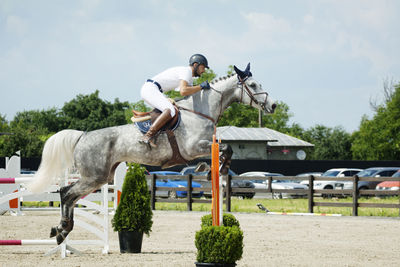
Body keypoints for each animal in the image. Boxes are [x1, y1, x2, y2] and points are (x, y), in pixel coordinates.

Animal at [27, 62, 276, 245]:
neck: (200, 111)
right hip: (94, 176)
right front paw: (215, 168)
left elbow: (224, 151)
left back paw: (62, 230)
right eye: (253, 85)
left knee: (68, 194)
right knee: (66, 193)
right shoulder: (194, 148)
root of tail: (83, 135)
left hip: (102, 177)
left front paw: (209, 170)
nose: (272, 106)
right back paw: (61, 229)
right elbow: (227, 148)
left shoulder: (202, 147)